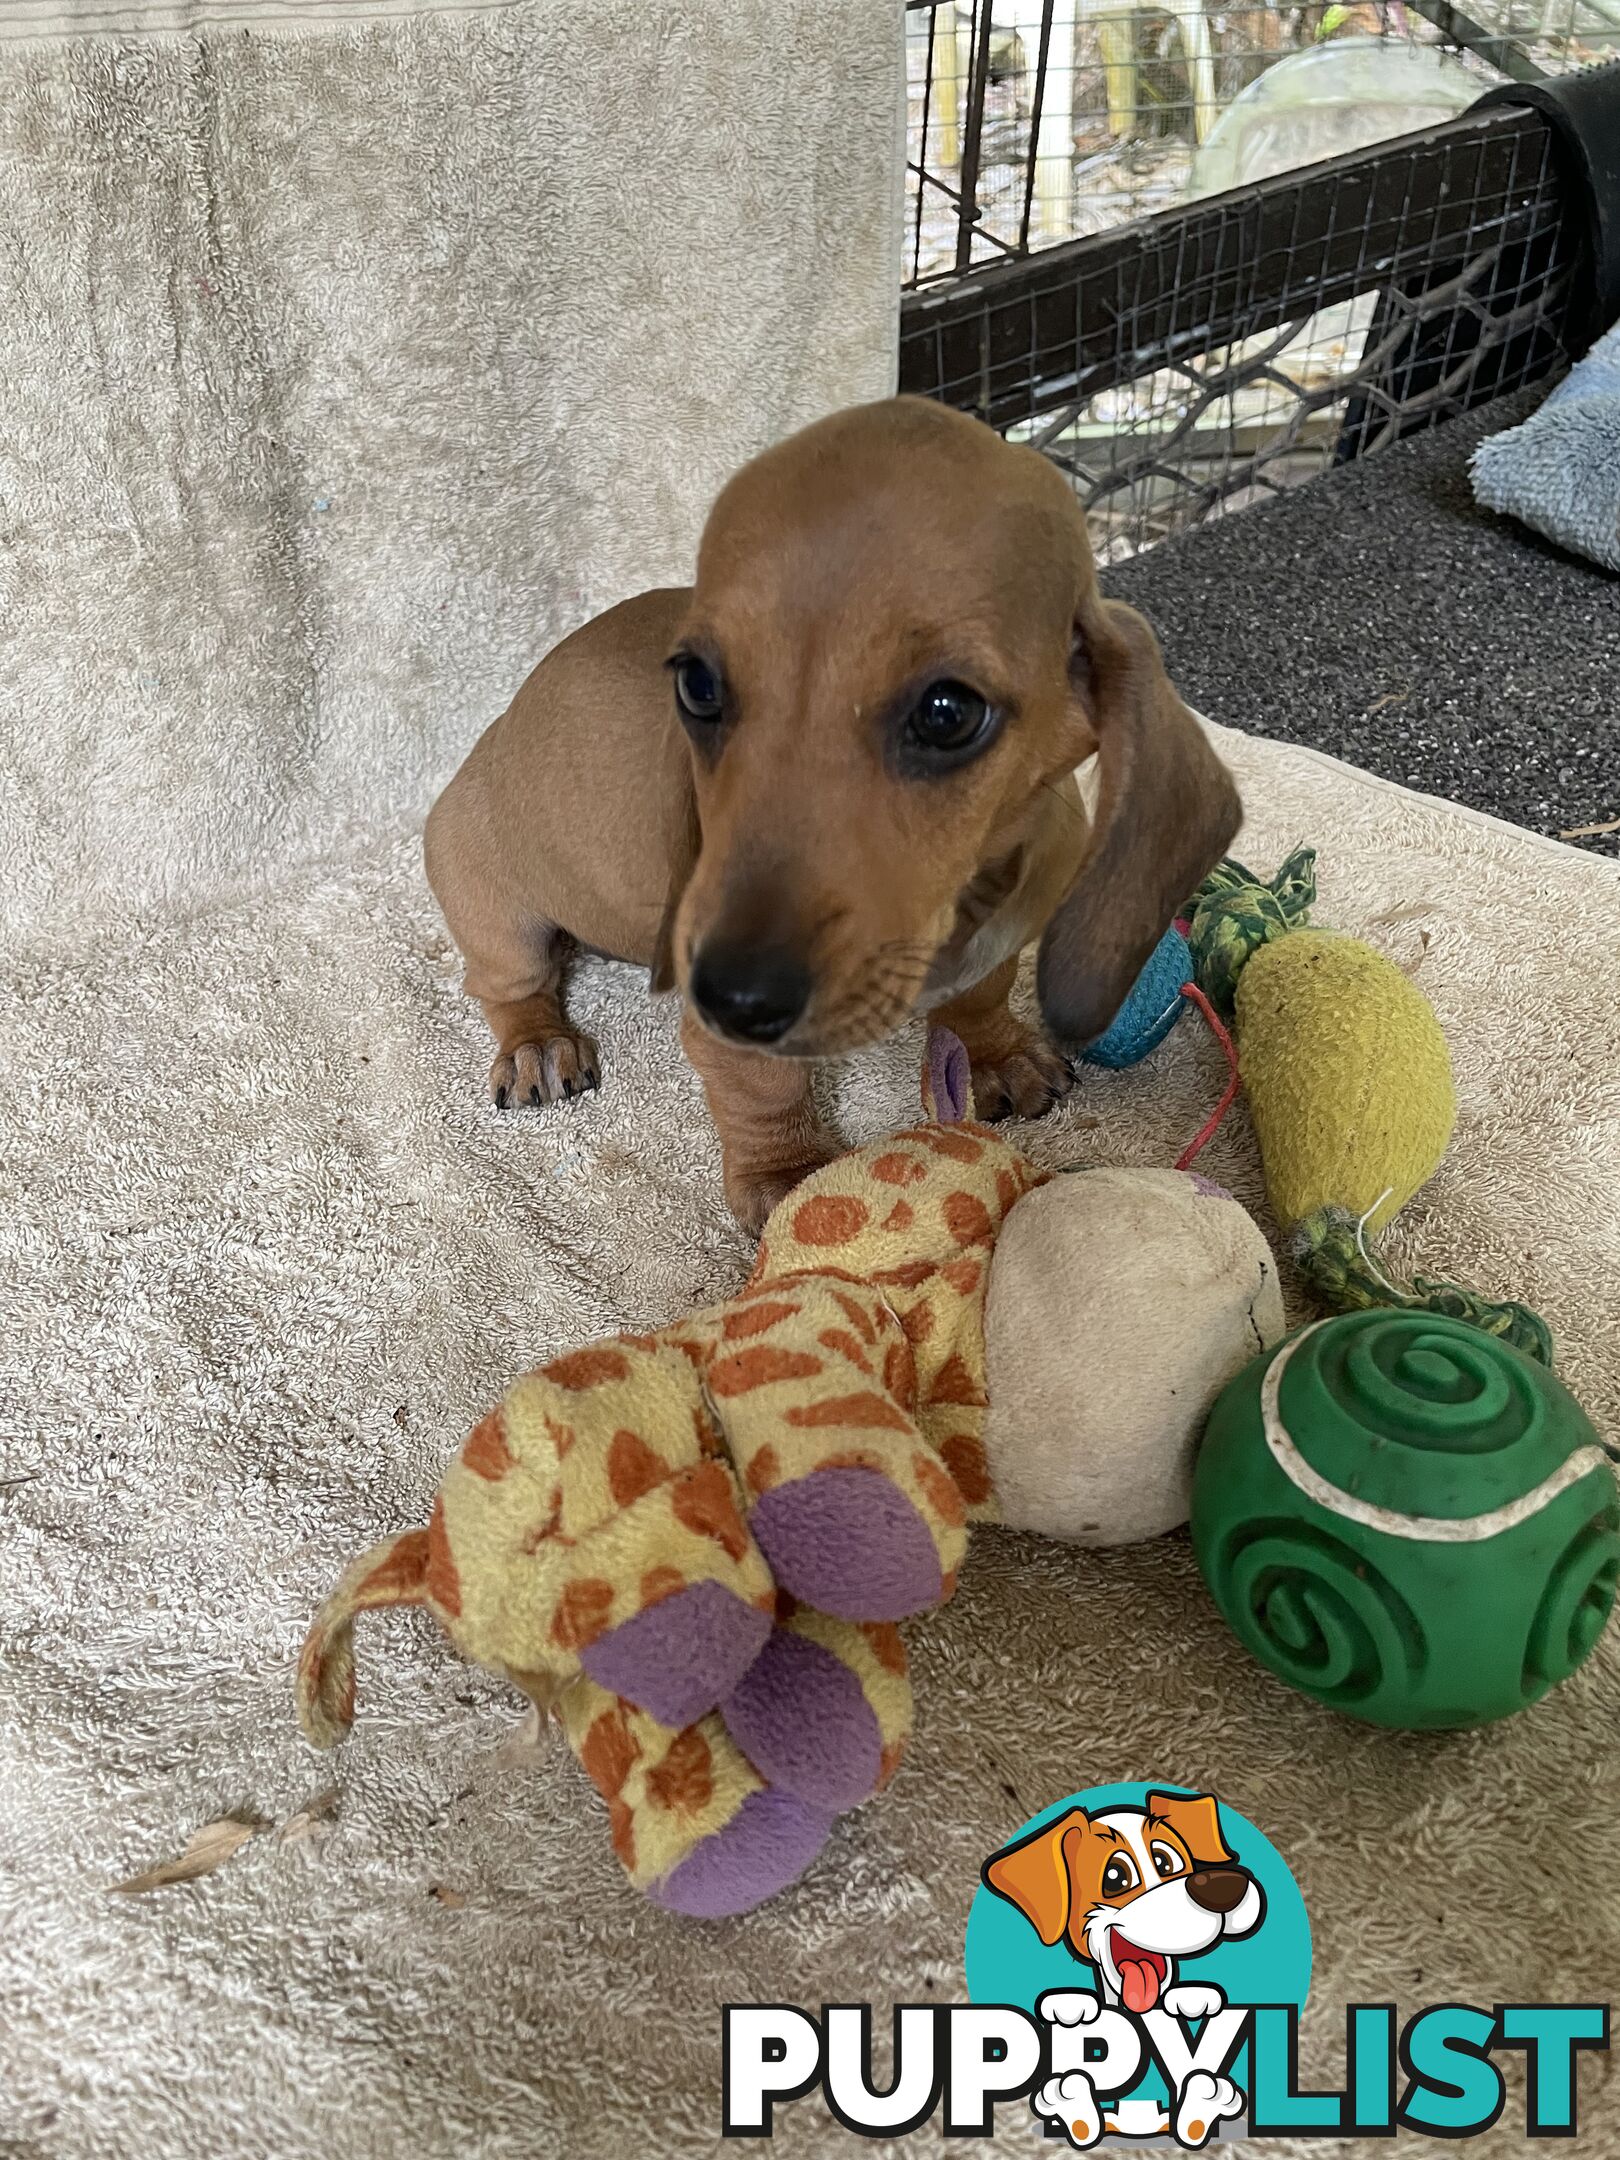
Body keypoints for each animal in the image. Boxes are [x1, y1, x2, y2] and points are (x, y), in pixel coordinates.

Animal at [425, 395, 1235, 1226]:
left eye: (948, 713)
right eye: (697, 685)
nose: (732, 996)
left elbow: (981, 993)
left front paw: (997, 1052)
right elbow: (764, 1085)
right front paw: (790, 1175)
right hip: (496, 912)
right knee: (508, 986)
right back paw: (537, 1043)